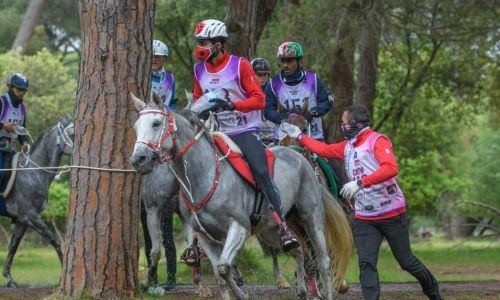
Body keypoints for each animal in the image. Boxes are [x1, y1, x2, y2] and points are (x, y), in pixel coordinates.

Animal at [1, 114, 74, 286]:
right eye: (74, 134)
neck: (33, 172)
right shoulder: (30, 216)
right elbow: (55, 240)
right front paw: (62, 274)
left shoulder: (23, 220)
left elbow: (13, 246)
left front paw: (9, 279)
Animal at [131, 94, 354, 300]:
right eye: (136, 126)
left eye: (156, 123)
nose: (138, 159)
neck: (204, 175)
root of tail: (300, 156)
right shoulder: (202, 235)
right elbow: (220, 273)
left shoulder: (239, 227)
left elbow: (223, 267)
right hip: (273, 229)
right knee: (298, 251)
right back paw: (301, 290)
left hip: (311, 218)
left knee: (323, 260)